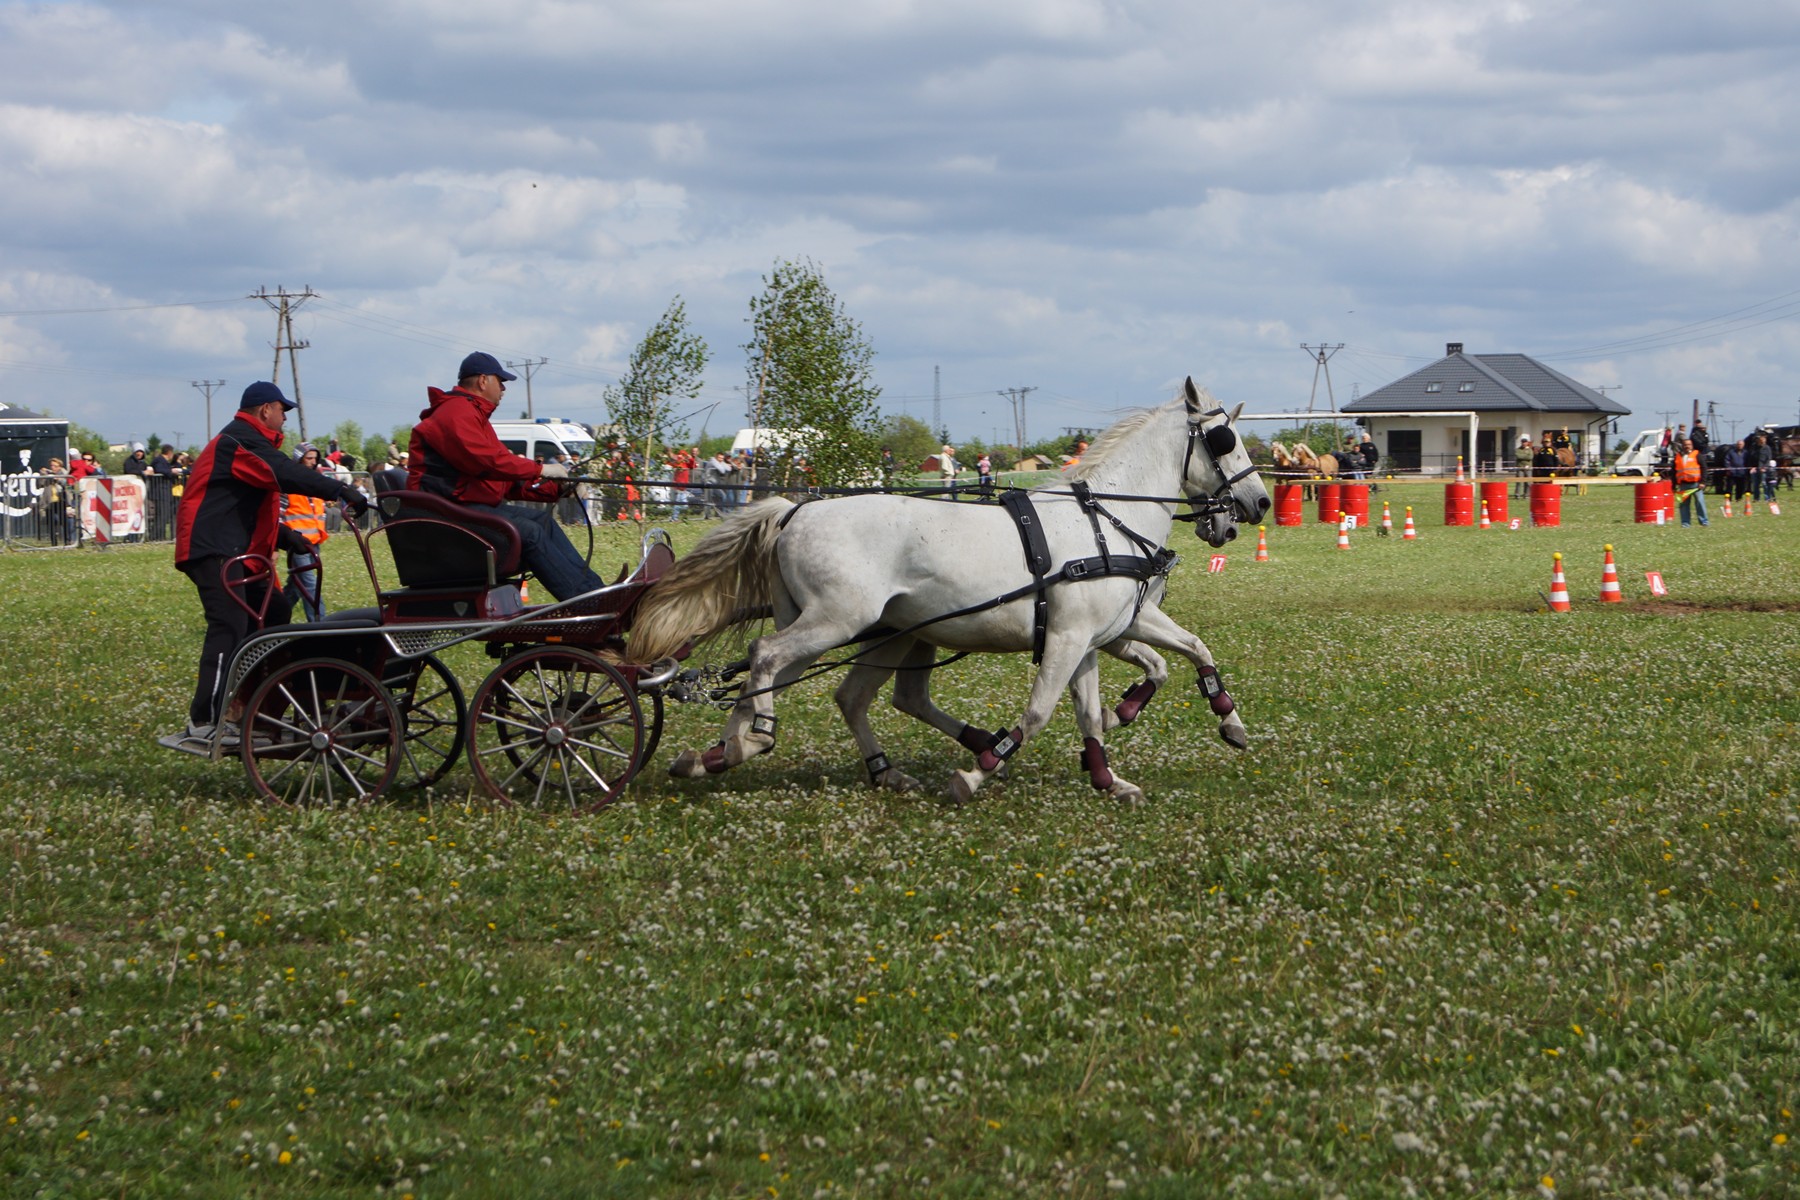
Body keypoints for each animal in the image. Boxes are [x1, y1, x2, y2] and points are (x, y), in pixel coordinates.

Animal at [630, 379, 1267, 802]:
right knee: (767, 659)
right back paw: (755, 741)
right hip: (837, 622)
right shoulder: (1067, 639)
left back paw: (722, 755)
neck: (1106, 521)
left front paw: (1118, 769)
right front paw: (980, 769)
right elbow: (1040, 712)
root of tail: (795, 510)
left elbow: (1142, 679)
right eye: (1225, 439)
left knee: (807, 688)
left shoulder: (1091, 638)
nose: (1256, 505)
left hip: (863, 630)